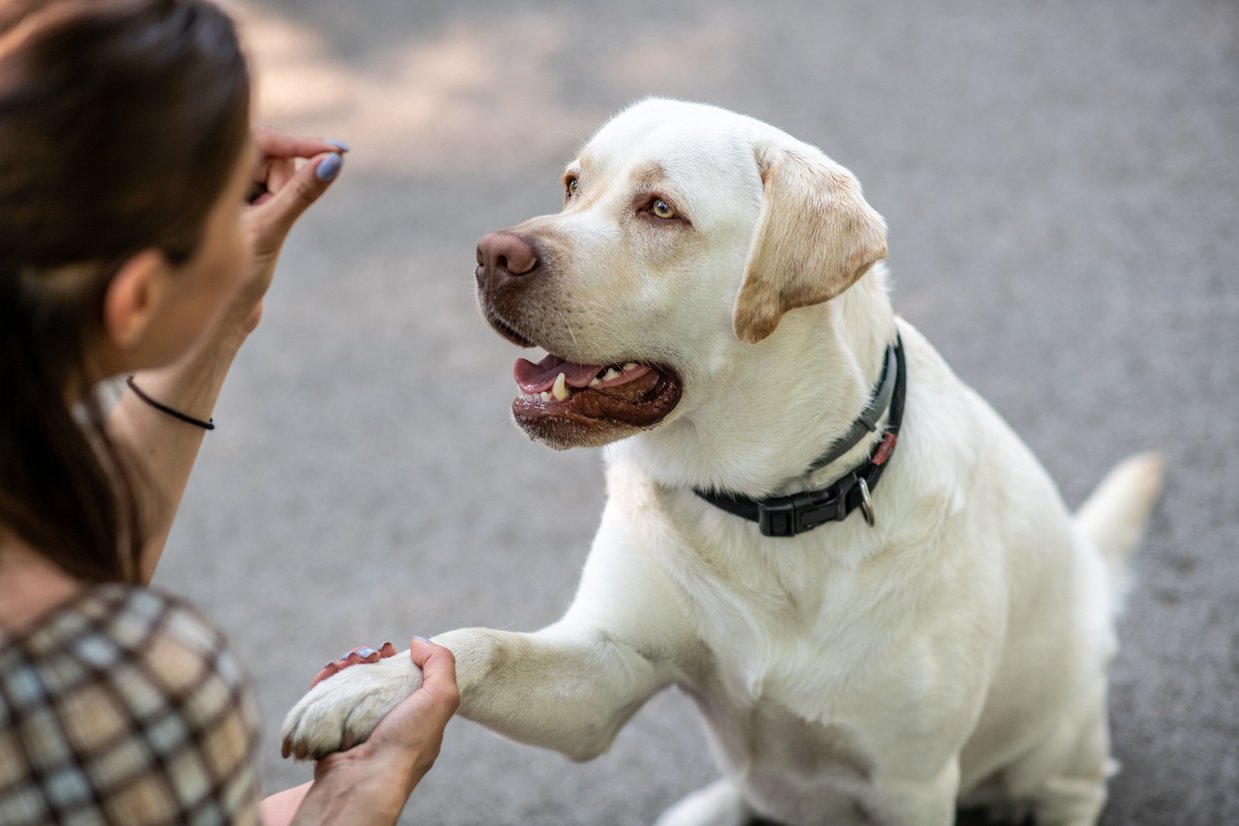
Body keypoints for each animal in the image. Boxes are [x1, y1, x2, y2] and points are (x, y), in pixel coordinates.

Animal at [281, 101, 1159, 826]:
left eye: (660, 210)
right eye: (571, 185)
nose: (491, 254)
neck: (766, 505)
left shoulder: (910, 783)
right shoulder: (603, 674)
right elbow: (478, 645)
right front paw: (369, 687)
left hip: (1062, 739)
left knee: (1074, 786)